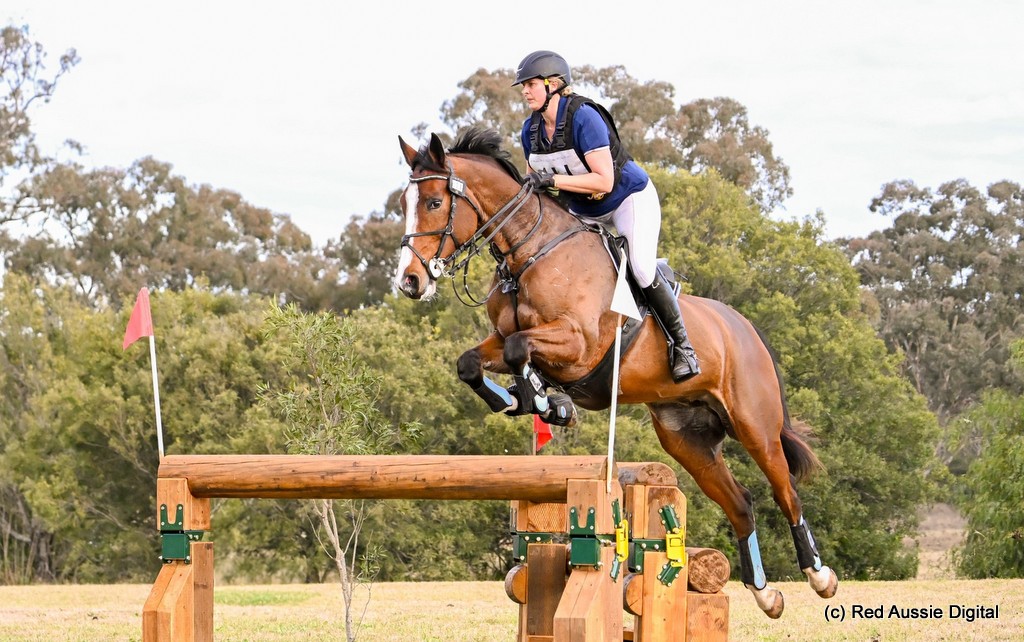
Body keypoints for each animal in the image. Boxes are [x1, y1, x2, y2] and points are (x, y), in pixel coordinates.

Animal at [393, 127, 838, 618]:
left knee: (786, 491)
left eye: (435, 202)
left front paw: (546, 400)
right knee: (740, 503)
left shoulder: (579, 344)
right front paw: (528, 401)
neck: (532, 253)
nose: (409, 281)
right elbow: (474, 361)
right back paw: (765, 594)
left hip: (755, 425)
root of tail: (747, 329)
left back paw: (820, 577)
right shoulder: (504, 339)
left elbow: (519, 349)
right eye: (403, 204)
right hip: (688, 440)